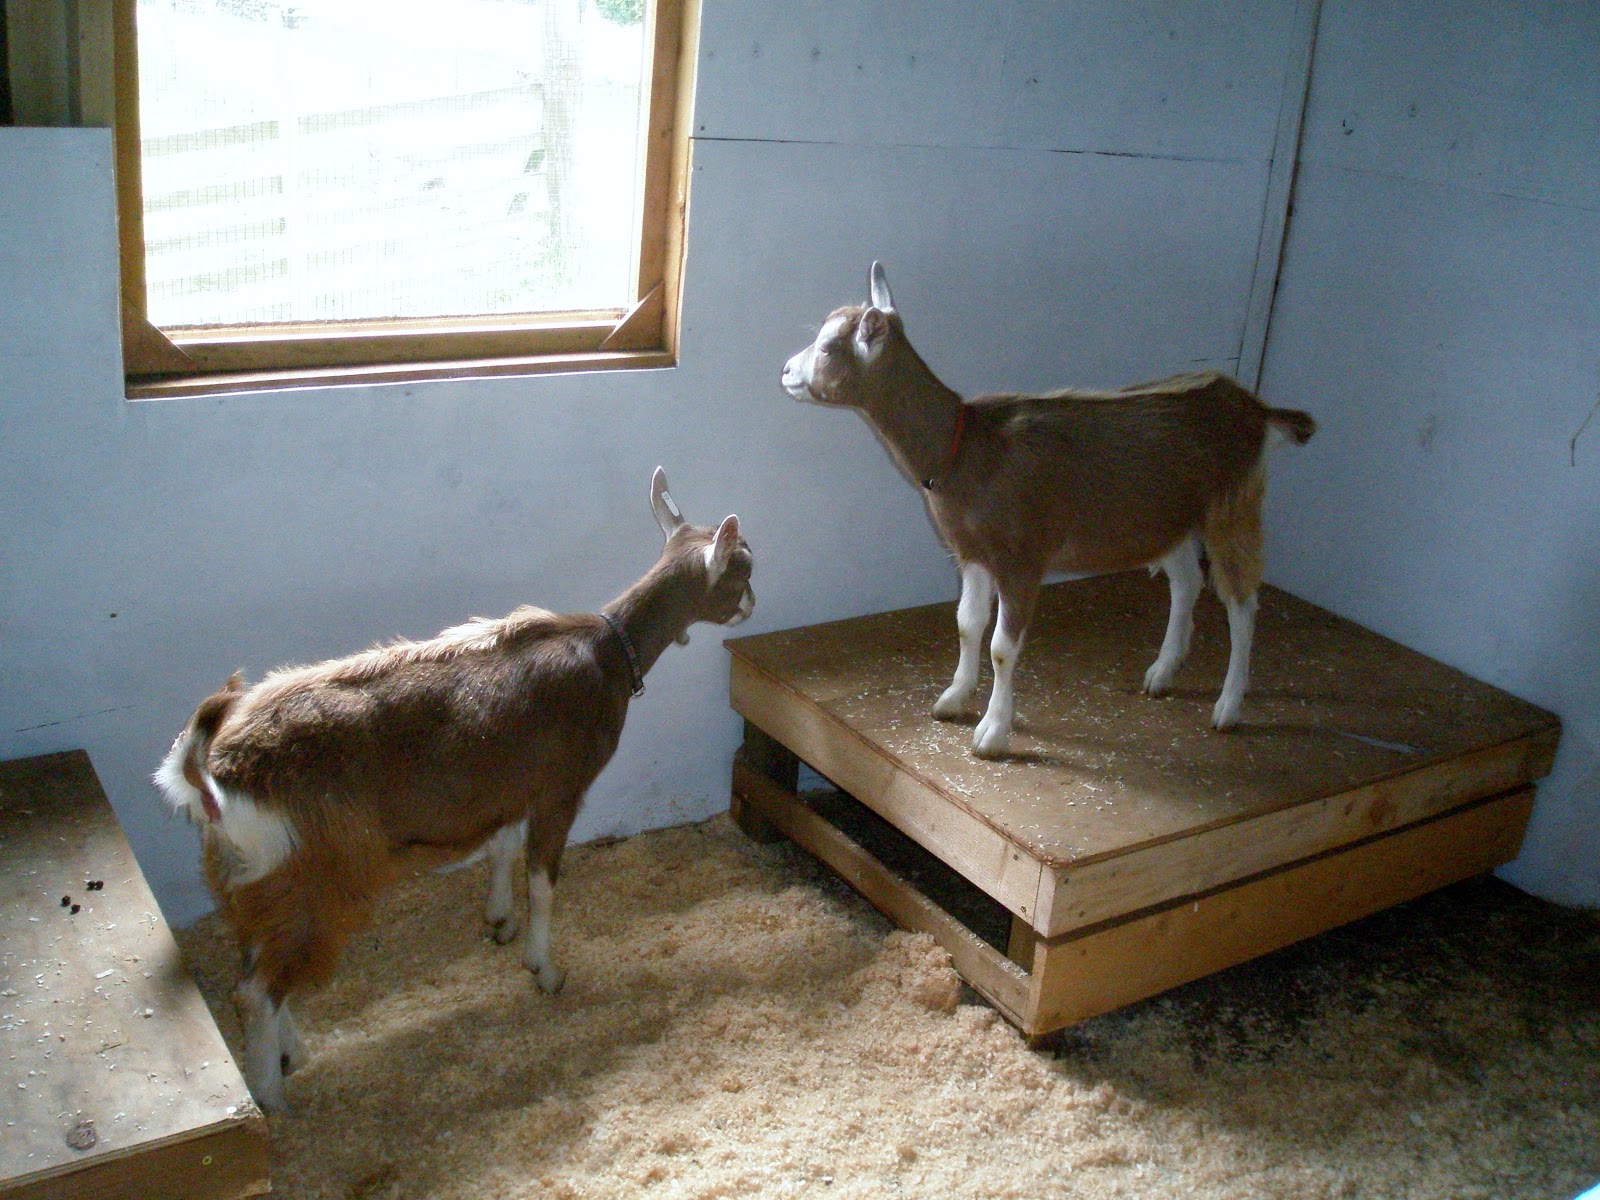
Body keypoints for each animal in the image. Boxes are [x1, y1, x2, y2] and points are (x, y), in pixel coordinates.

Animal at [154, 468, 754, 1113]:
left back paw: (295, 1055)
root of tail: (213, 776)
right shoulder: (561, 788)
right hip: (306, 874)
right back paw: (274, 1099)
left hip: (252, 887)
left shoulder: (513, 784)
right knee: (256, 990)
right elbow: (543, 881)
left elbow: (501, 848)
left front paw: (499, 922)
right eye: (743, 566)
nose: (752, 604)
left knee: (255, 971)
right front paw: (545, 970)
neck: (608, 652)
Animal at [782, 262, 1314, 757]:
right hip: (1166, 518)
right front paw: (953, 698)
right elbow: (966, 623)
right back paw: (1163, 672)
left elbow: (1001, 647)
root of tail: (1255, 408)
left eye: (828, 348)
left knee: (1241, 601)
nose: (785, 371)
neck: (963, 444)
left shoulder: (1021, 558)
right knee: (1187, 580)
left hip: (1232, 505)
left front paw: (993, 733)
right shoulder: (971, 553)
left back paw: (1228, 705)